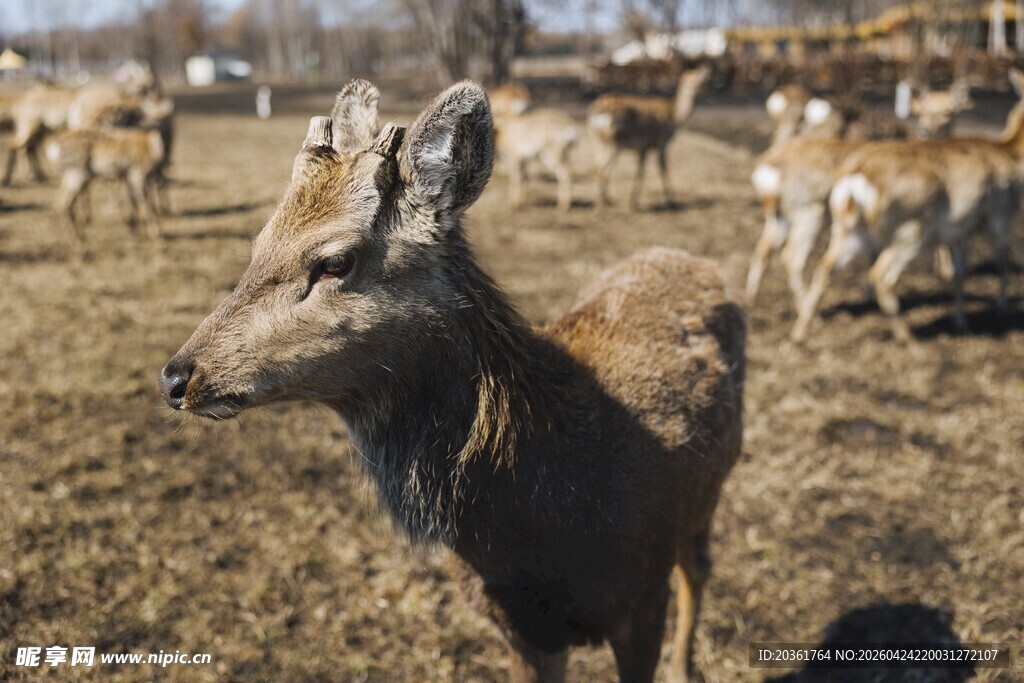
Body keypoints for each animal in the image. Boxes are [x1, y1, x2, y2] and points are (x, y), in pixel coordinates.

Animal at [489, 83, 580, 212]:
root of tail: (570, 127)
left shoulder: (514, 159)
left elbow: (515, 179)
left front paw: (514, 205)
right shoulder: (523, 161)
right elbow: (524, 178)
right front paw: (521, 202)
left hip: (553, 155)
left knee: (566, 174)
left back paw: (563, 207)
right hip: (563, 154)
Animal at [588, 64, 711, 209]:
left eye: (700, 80)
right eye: (694, 80)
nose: (699, 89)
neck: (674, 117)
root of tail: (596, 111)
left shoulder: (643, 147)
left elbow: (640, 171)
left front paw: (633, 201)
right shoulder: (662, 141)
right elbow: (662, 168)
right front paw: (671, 201)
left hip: (598, 140)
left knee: (596, 166)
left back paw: (607, 199)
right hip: (614, 142)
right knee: (602, 169)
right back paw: (604, 202)